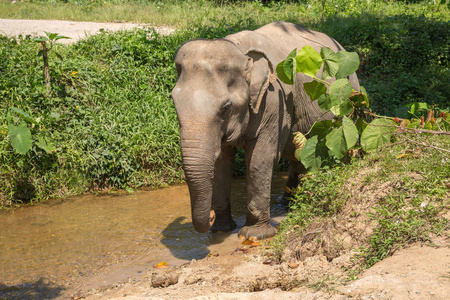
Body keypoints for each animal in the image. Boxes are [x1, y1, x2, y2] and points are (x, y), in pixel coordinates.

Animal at [171, 21, 360, 240]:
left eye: (226, 107)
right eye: (174, 103)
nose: (209, 217)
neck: (239, 49)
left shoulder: (274, 100)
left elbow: (260, 159)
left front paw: (253, 235)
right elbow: (221, 162)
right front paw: (221, 229)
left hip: (348, 103)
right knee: (301, 154)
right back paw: (289, 205)